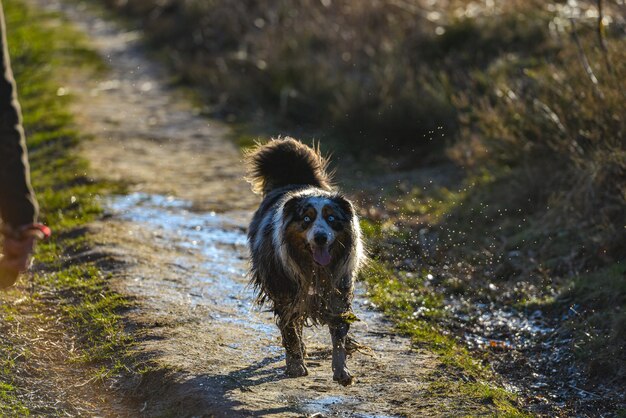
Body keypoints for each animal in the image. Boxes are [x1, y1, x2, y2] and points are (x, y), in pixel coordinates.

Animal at [244, 137, 360, 386]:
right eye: (306, 219)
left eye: (331, 219)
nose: (320, 237)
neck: (315, 268)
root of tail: (293, 180)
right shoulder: (285, 287)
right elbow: (289, 327)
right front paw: (296, 365)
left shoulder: (339, 287)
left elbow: (339, 332)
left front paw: (342, 371)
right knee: (293, 322)